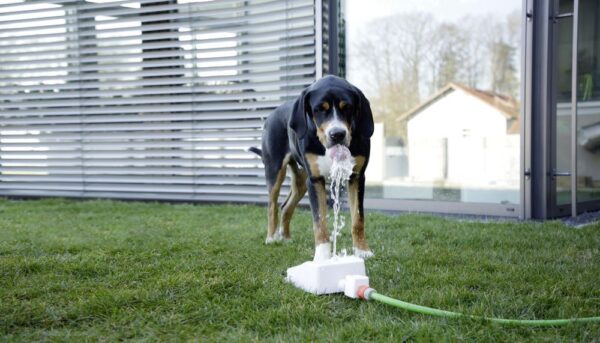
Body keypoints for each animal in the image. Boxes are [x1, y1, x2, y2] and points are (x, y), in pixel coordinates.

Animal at [250, 76, 372, 262]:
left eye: (347, 107)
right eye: (319, 109)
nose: (337, 134)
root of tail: (271, 115)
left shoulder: (357, 177)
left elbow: (358, 219)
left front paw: (362, 250)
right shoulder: (315, 180)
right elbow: (319, 221)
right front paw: (322, 255)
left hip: (301, 182)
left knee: (286, 206)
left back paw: (286, 238)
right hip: (275, 171)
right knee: (272, 206)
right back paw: (271, 238)